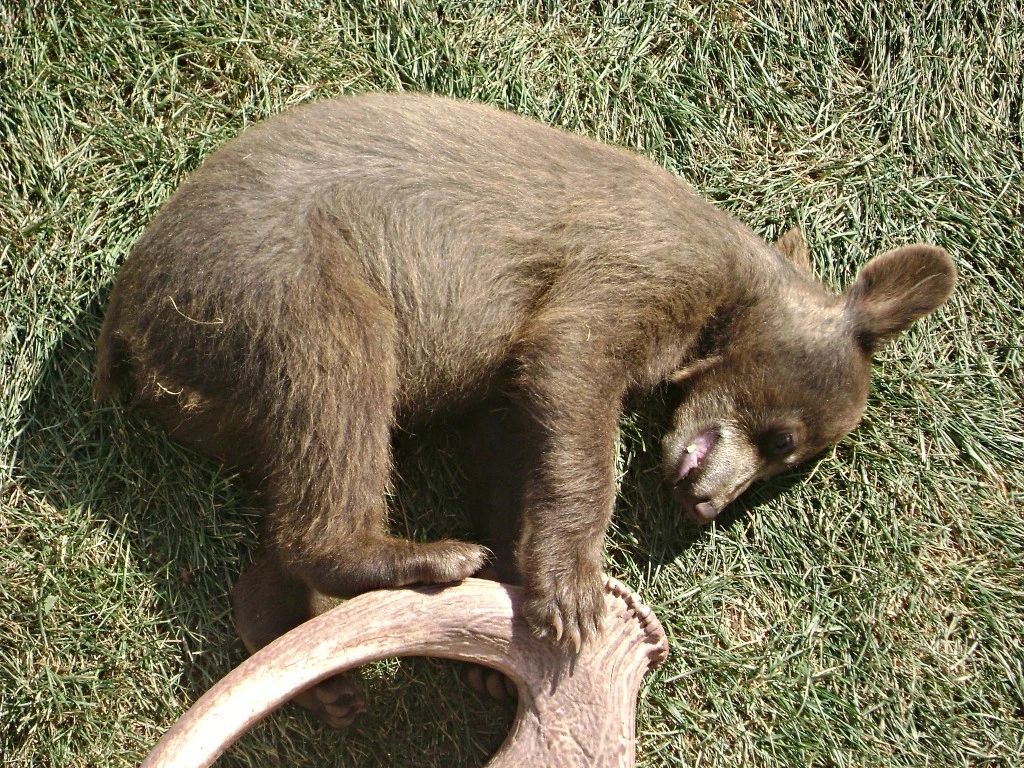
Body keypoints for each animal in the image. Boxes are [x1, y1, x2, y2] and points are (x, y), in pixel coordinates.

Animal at [92, 93, 954, 724]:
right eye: (783, 441)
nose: (707, 500)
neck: (725, 300)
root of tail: (132, 323)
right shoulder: (632, 265)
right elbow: (570, 375)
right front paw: (574, 594)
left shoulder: (509, 378)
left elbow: (510, 440)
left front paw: (503, 644)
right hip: (281, 274)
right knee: (340, 391)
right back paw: (424, 554)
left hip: (234, 389)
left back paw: (315, 662)